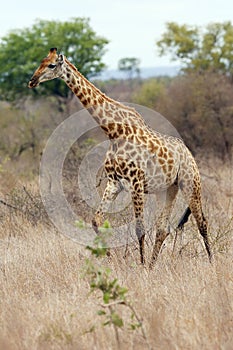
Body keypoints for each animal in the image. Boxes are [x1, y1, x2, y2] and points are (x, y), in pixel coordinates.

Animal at [28, 46, 212, 266]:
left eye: (52, 65)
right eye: (41, 62)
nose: (32, 81)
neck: (114, 132)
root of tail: (189, 154)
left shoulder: (136, 183)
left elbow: (139, 228)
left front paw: (140, 265)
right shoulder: (114, 183)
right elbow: (96, 220)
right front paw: (110, 256)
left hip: (190, 182)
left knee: (202, 221)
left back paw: (211, 262)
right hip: (167, 189)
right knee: (163, 228)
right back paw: (153, 265)